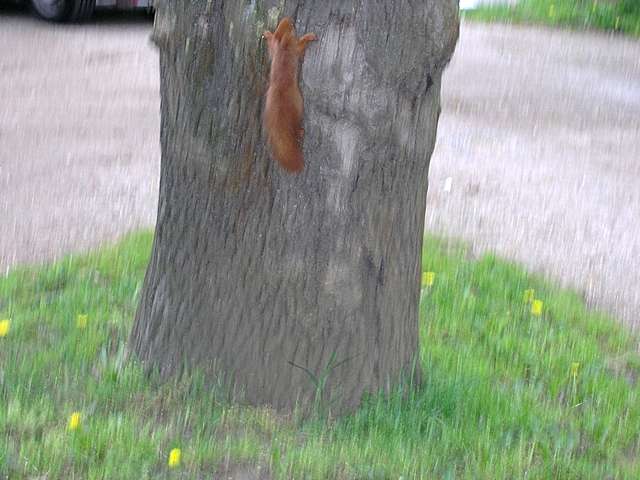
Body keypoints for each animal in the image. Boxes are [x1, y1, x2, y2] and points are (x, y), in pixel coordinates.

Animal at [262, 17, 318, 173]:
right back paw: (300, 132)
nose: (291, 19)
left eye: (283, 23)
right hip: (297, 105)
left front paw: (267, 34)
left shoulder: (275, 48)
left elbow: (271, 45)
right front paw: (309, 36)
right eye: (291, 26)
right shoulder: (295, 48)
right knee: (295, 124)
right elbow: (301, 45)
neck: (283, 45)